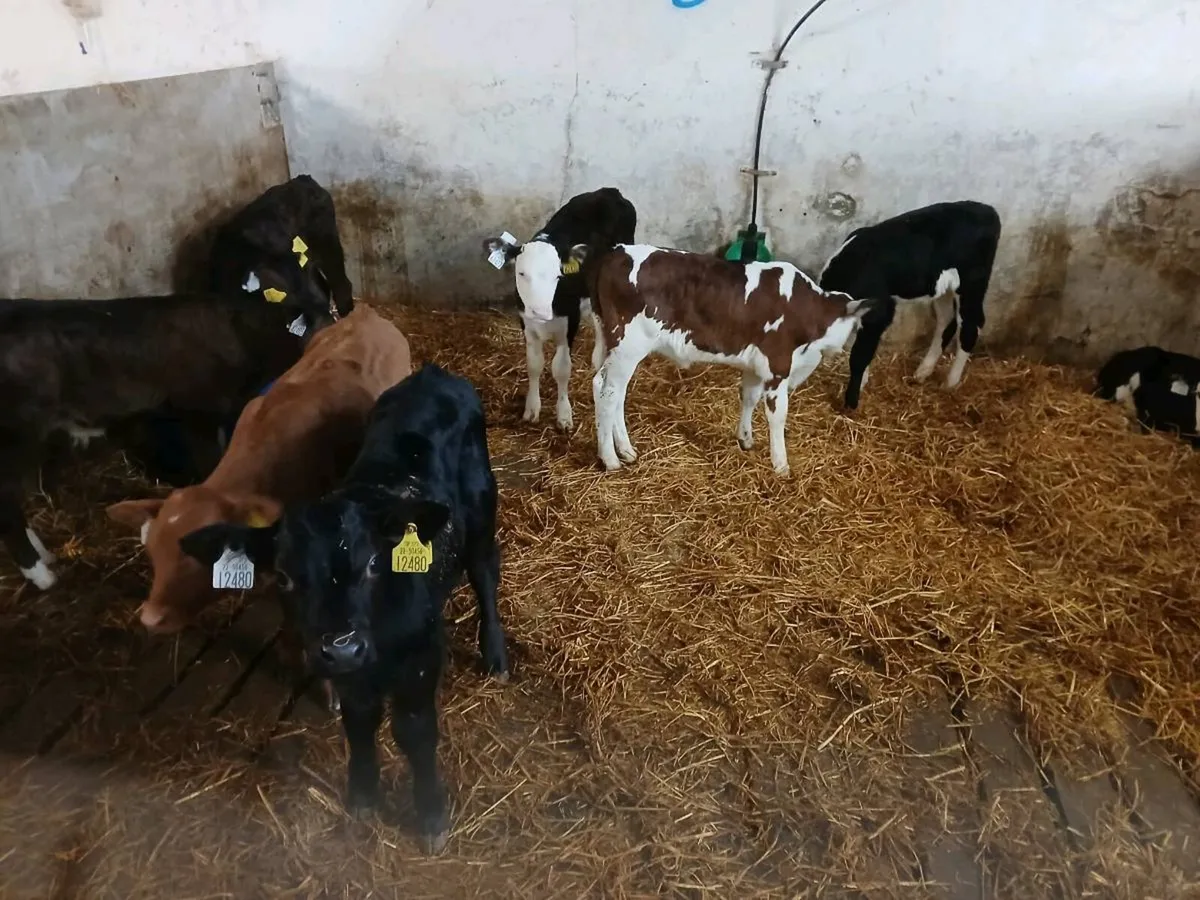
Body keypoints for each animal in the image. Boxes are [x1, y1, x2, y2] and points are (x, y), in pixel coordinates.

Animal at [174, 363, 510, 853]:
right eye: (284, 576)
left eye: (373, 563)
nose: (342, 647)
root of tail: (433, 374)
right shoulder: (352, 678)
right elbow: (360, 724)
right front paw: (363, 795)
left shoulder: (421, 659)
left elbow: (415, 731)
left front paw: (430, 814)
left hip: (483, 508)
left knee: (485, 571)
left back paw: (496, 655)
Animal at [483, 187, 636, 431]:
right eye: (521, 273)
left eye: (558, 275)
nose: (540, 311)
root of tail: (610, 191)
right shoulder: (526, 323)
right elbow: (534, 364)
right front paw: (532, 408)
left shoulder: (569, 322)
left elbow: (562, 369)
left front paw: (564, 414)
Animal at [582, 245, 893, 475]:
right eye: (856, 327)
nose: (844, 351)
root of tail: (615, 252)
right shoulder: (778, 365)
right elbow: (777, 414)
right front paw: (781, 465)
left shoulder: (756, 364)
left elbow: (749, 397)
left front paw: (746, 439)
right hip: (628, 344)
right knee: (608, 391)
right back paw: (610, 459)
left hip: (615, 346)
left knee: (611, 390)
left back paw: (625, 450)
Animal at [817, 200, 1002, 409]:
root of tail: (986, 209)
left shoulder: (880, 311)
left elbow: (859, 355)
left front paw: (851, 401)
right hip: (942, 286)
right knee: (946, 320)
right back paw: (923, 371)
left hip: (972, 283)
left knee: (971, 325)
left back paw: (950, 383)